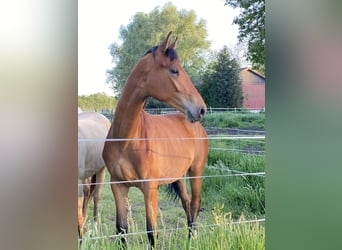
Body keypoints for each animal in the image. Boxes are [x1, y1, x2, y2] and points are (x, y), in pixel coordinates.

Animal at [102, 30, 208, 246]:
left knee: (195, 204)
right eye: (174, 71)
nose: (201, 109)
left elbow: (152, 232)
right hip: (179, 176)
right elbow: (121, 230)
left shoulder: (150, 188)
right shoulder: (117, 186)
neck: (126, 141)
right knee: (187, 204)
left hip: (196, 172)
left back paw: (191, 240)